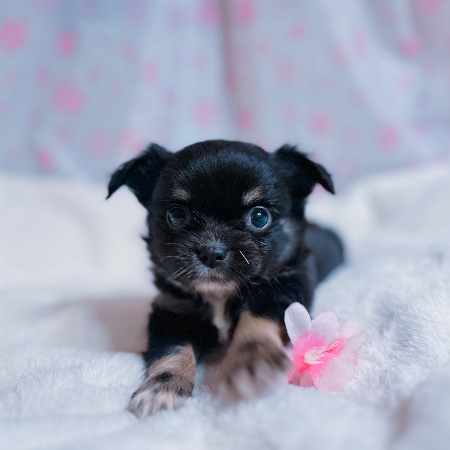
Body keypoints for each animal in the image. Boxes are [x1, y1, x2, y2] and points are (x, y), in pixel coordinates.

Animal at [107, 139, 344, 418]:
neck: (219, 294)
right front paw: (160, 389)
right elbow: (172, 351)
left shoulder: (282, 293)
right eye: (176, 216)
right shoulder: (171, 313)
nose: (211, 252)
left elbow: (256, 318)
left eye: (260, 217)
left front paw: (252, 360)